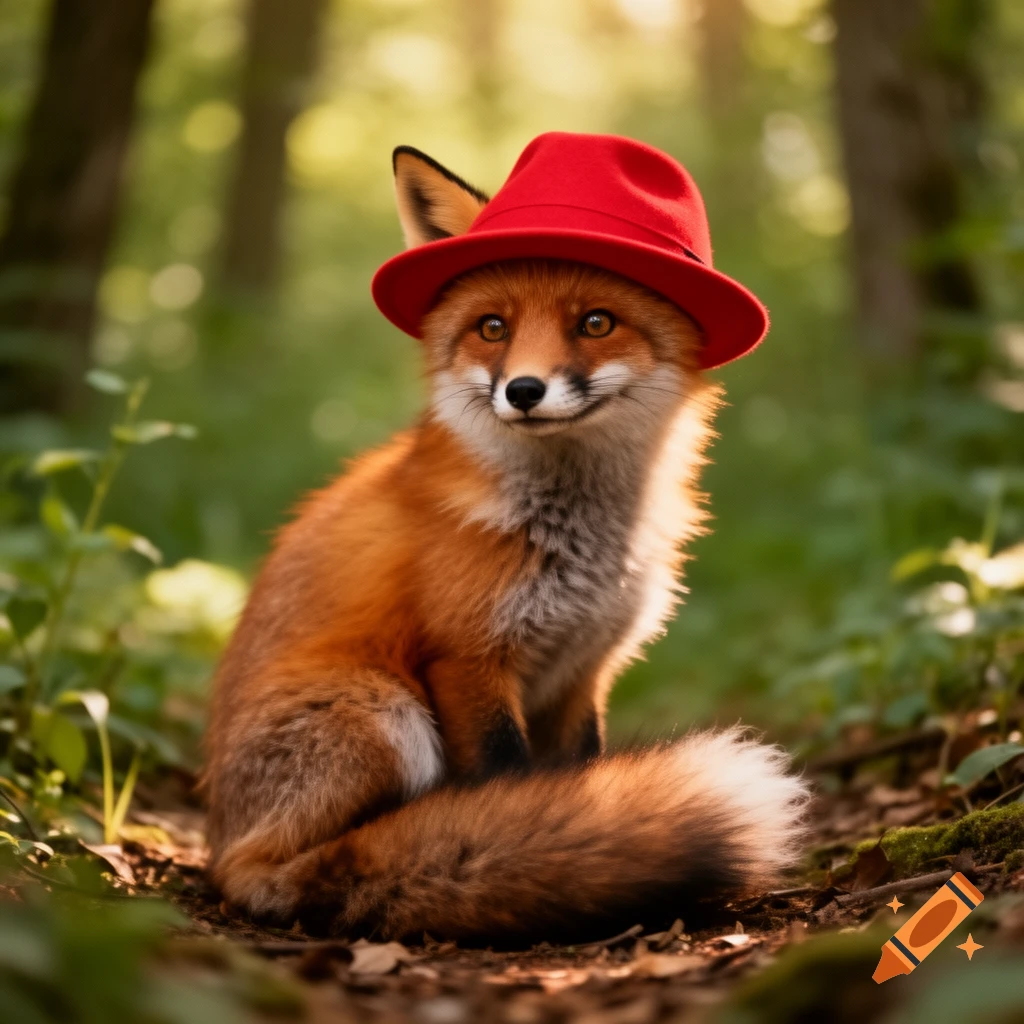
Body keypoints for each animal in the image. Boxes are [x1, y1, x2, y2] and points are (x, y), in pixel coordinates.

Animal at [204, 140, 809, 943]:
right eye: (492, 328)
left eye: (595, 322)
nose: (522, 391)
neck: (579, 543)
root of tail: (217, 842)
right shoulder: (466, 658)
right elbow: (507, 781)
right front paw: (527, 843)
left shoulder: (586, 666)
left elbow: (580, 771)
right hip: (380, 714)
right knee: (294, 867)